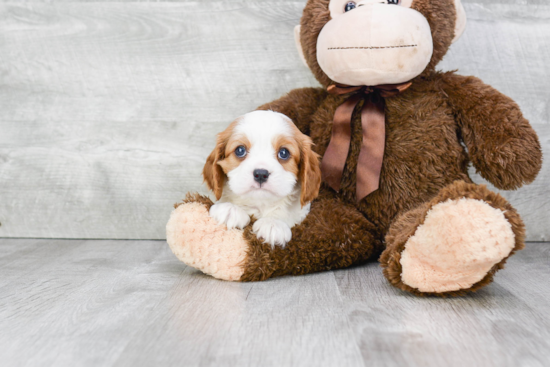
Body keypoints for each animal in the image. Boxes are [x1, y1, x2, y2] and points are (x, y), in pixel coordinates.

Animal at [203, 109, 324, 247]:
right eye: (240, 150)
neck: (260, 204)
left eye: (284, 153)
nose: (261, 174)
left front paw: (272, 224)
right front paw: (230, 210)